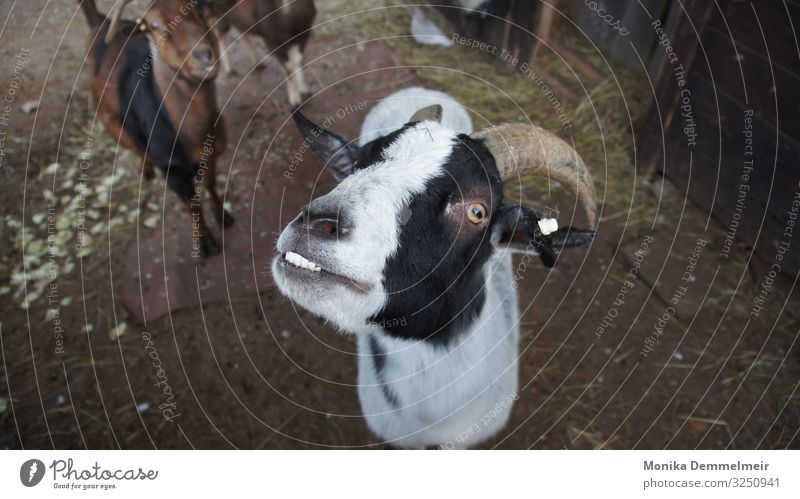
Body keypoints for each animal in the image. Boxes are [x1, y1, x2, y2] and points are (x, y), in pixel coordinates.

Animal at [77, 0, 231, 258]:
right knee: (135, 147)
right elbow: (192, 205)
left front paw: (223, 216)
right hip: (112, 124)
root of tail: (98, 23)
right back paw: (146, 170)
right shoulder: (172, 171)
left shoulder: (211, 155)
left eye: (197, 8)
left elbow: (210, 184)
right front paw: (204, 244)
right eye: (155, 25)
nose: (203, 55)